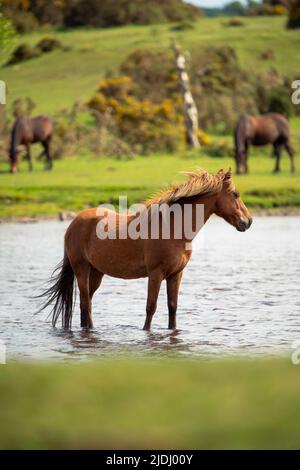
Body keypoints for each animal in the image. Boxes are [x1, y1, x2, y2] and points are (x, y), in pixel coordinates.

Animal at [38, 168, 253, 330]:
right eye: (236, 194)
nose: (248, 222)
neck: (173, 228)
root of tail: (74, 223)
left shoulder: (176, 274)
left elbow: (172, 307)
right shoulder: (155, 274)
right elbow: (151, 307)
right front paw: (146, 332)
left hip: (97, 272)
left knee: (87, 303)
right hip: (81, 269)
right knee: (85, 303)